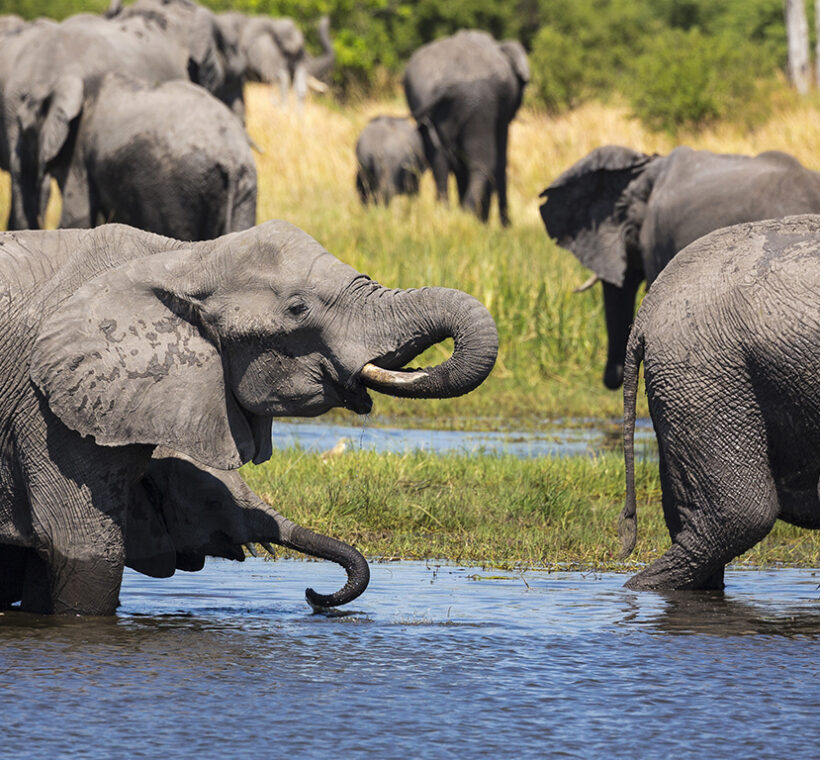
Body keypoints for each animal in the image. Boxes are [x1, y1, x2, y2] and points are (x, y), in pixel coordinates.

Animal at [404, 30, 532, 226]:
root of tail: (446, 87)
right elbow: (500, 159)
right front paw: (505, 226)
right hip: (478, 104)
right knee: (480, 162)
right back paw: (467, 215)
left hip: (426, 101)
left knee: (440, 162)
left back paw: (446, 215)